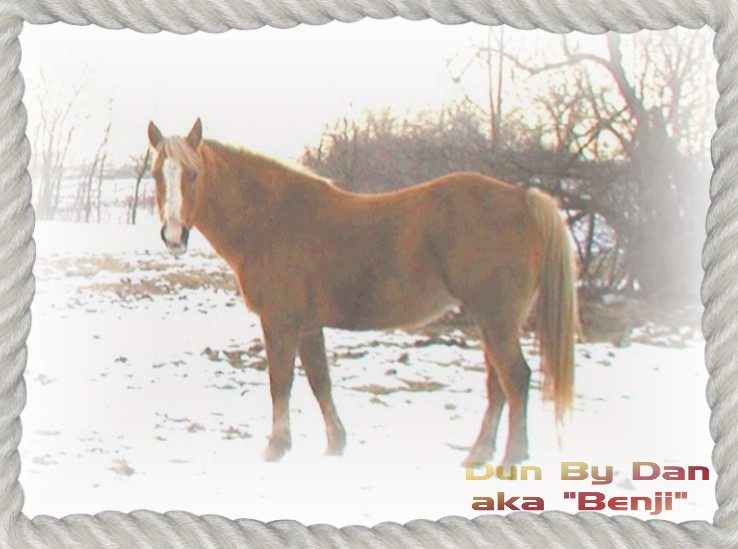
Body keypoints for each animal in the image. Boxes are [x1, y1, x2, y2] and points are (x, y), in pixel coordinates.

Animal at [147, 118, 578, 465]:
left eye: (192, 173)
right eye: (155, 175)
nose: (173, 236)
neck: (271, 218)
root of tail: (522, 198)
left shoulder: (280, 322)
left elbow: (280, 383)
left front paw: (276, 447)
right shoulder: (308, 326)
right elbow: (320, 381)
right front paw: (336, 444)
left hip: (496, 321)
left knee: (516, 379)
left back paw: (512, 458)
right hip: (492, 322)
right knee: (498, 385)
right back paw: (479, 455)